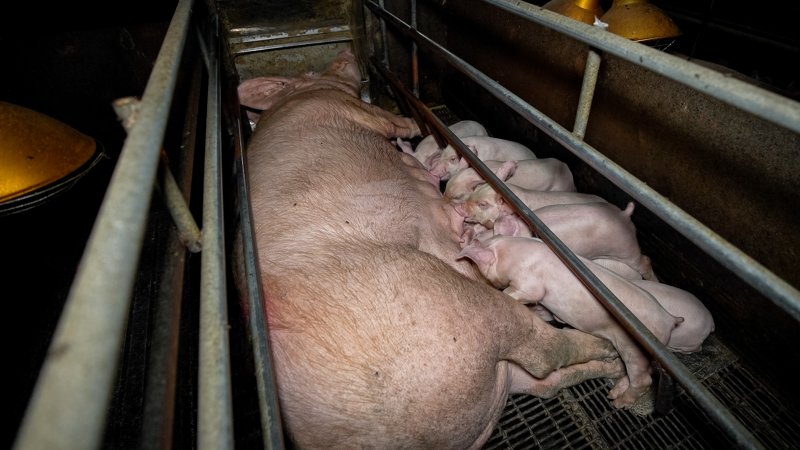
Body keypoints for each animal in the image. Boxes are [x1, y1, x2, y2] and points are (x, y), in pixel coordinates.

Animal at [234, 47, 620, 448]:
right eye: (311, 72)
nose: (343, 51)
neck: (294, 100)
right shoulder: (352, 107)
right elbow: (395, 122)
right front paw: (413, 123)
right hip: (457, 306)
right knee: (544, 352)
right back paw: (609, 352)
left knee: (545, 382)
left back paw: (608, 370)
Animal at [460, 237, 692, 414]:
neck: (515, 253)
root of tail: (669, 320)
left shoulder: (530, 284)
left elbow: (521, 293)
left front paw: (503, 294)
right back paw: (613, 393)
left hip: (634, 348)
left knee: (644, 379)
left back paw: (618, 403)